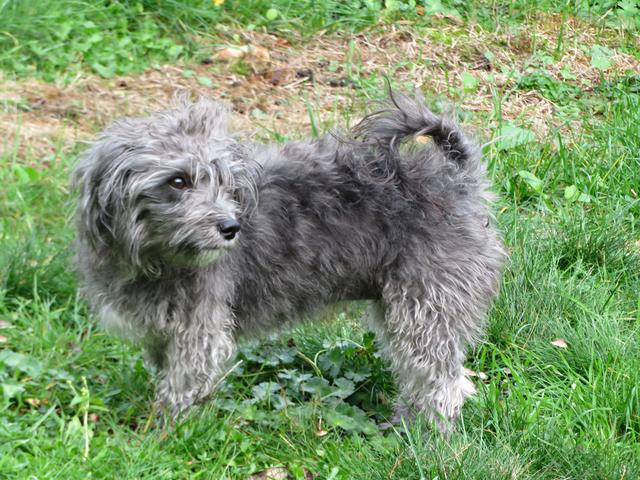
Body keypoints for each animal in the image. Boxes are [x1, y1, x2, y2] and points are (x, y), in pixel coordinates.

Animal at [73, 91, 505, 430]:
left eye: (226, 184)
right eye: (178, 181)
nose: (231, 227)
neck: (155, 256)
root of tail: (457, 179)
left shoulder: (199, 334)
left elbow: (180, 390)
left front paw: (164, 436)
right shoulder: (162, 334)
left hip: (426, 306)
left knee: (441, 381)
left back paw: (425, 436)